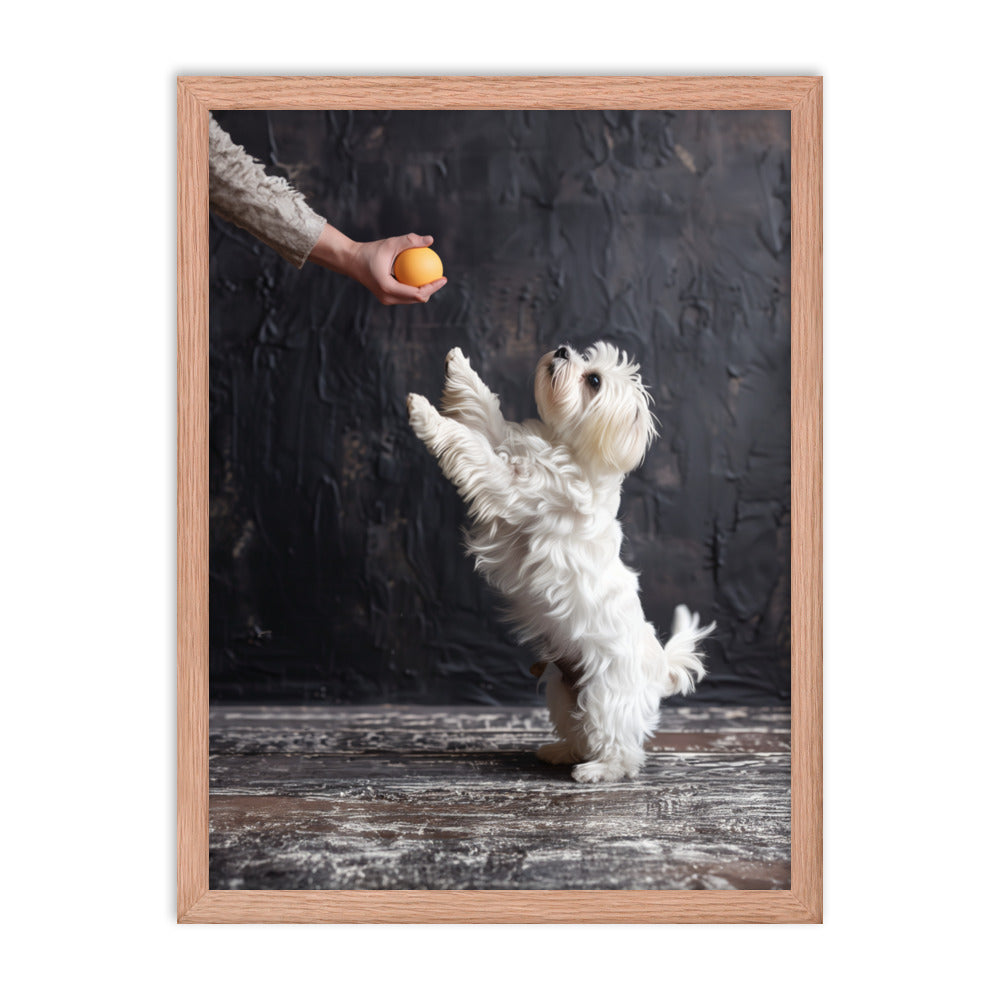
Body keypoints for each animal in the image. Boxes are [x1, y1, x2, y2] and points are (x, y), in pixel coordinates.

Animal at [406, 344, 712, 780]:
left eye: (594, 380)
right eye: (585, 356)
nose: (564, 349)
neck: (565, 449)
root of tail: (659, 667)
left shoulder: (506, 483)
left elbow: (470, 444)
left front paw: (424, 413)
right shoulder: (507, 446)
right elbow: (483, 410)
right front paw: (460, 368)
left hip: (606, 697)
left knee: (623, 749)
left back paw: (597, 771)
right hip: (562, 692)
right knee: (579, 731)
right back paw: (561, 752)